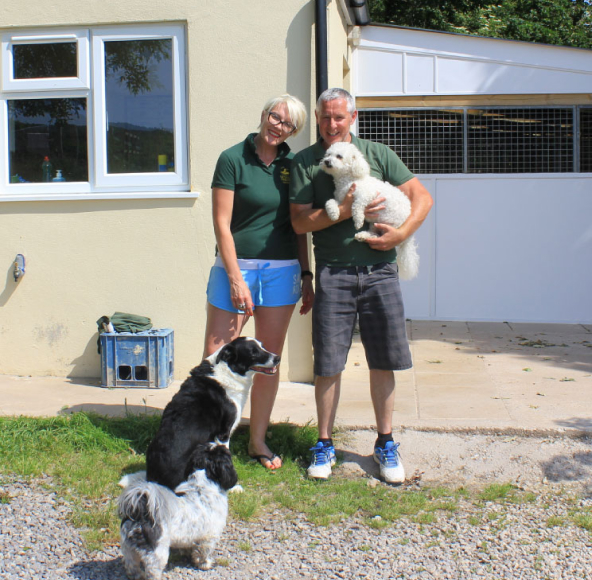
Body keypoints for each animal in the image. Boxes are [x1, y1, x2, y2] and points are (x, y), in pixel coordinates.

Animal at [118, 444, 238, 580]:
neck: (202, 485)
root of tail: (142, 514)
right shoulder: (209, 537)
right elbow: (204, 553)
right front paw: (205, 564)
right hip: (157, 553)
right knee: (152, 571)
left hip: (128, 550)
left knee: (131, 566)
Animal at [320, 138, 420, 278]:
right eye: (328, 154)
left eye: (339, 156)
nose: (326, 161)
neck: (349, 180)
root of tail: (409, 237)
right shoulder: (340, 200)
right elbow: (330, 202)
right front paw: (333, 214)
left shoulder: (367, 195)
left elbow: (356, 205)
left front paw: (358, 221)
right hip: (375, 224)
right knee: (375, 235)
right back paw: (363, 236)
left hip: (392, 227)